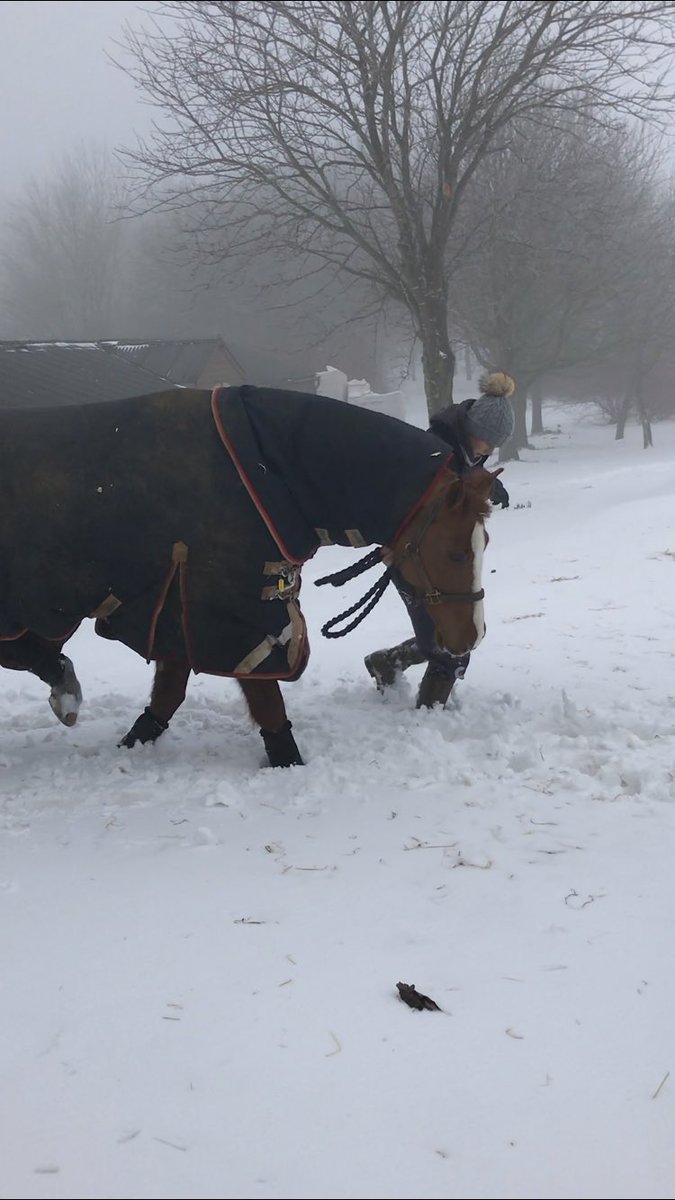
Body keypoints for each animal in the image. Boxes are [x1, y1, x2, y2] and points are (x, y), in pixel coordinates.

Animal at [0, 384, 498, 767]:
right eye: (456, 553)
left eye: (484, 544)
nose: (469, 638)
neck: (268, 470)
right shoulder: (230, 614)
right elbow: (265, 701)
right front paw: (287, 762)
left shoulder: (183, 606)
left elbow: (169, 693)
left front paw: (134, 742)